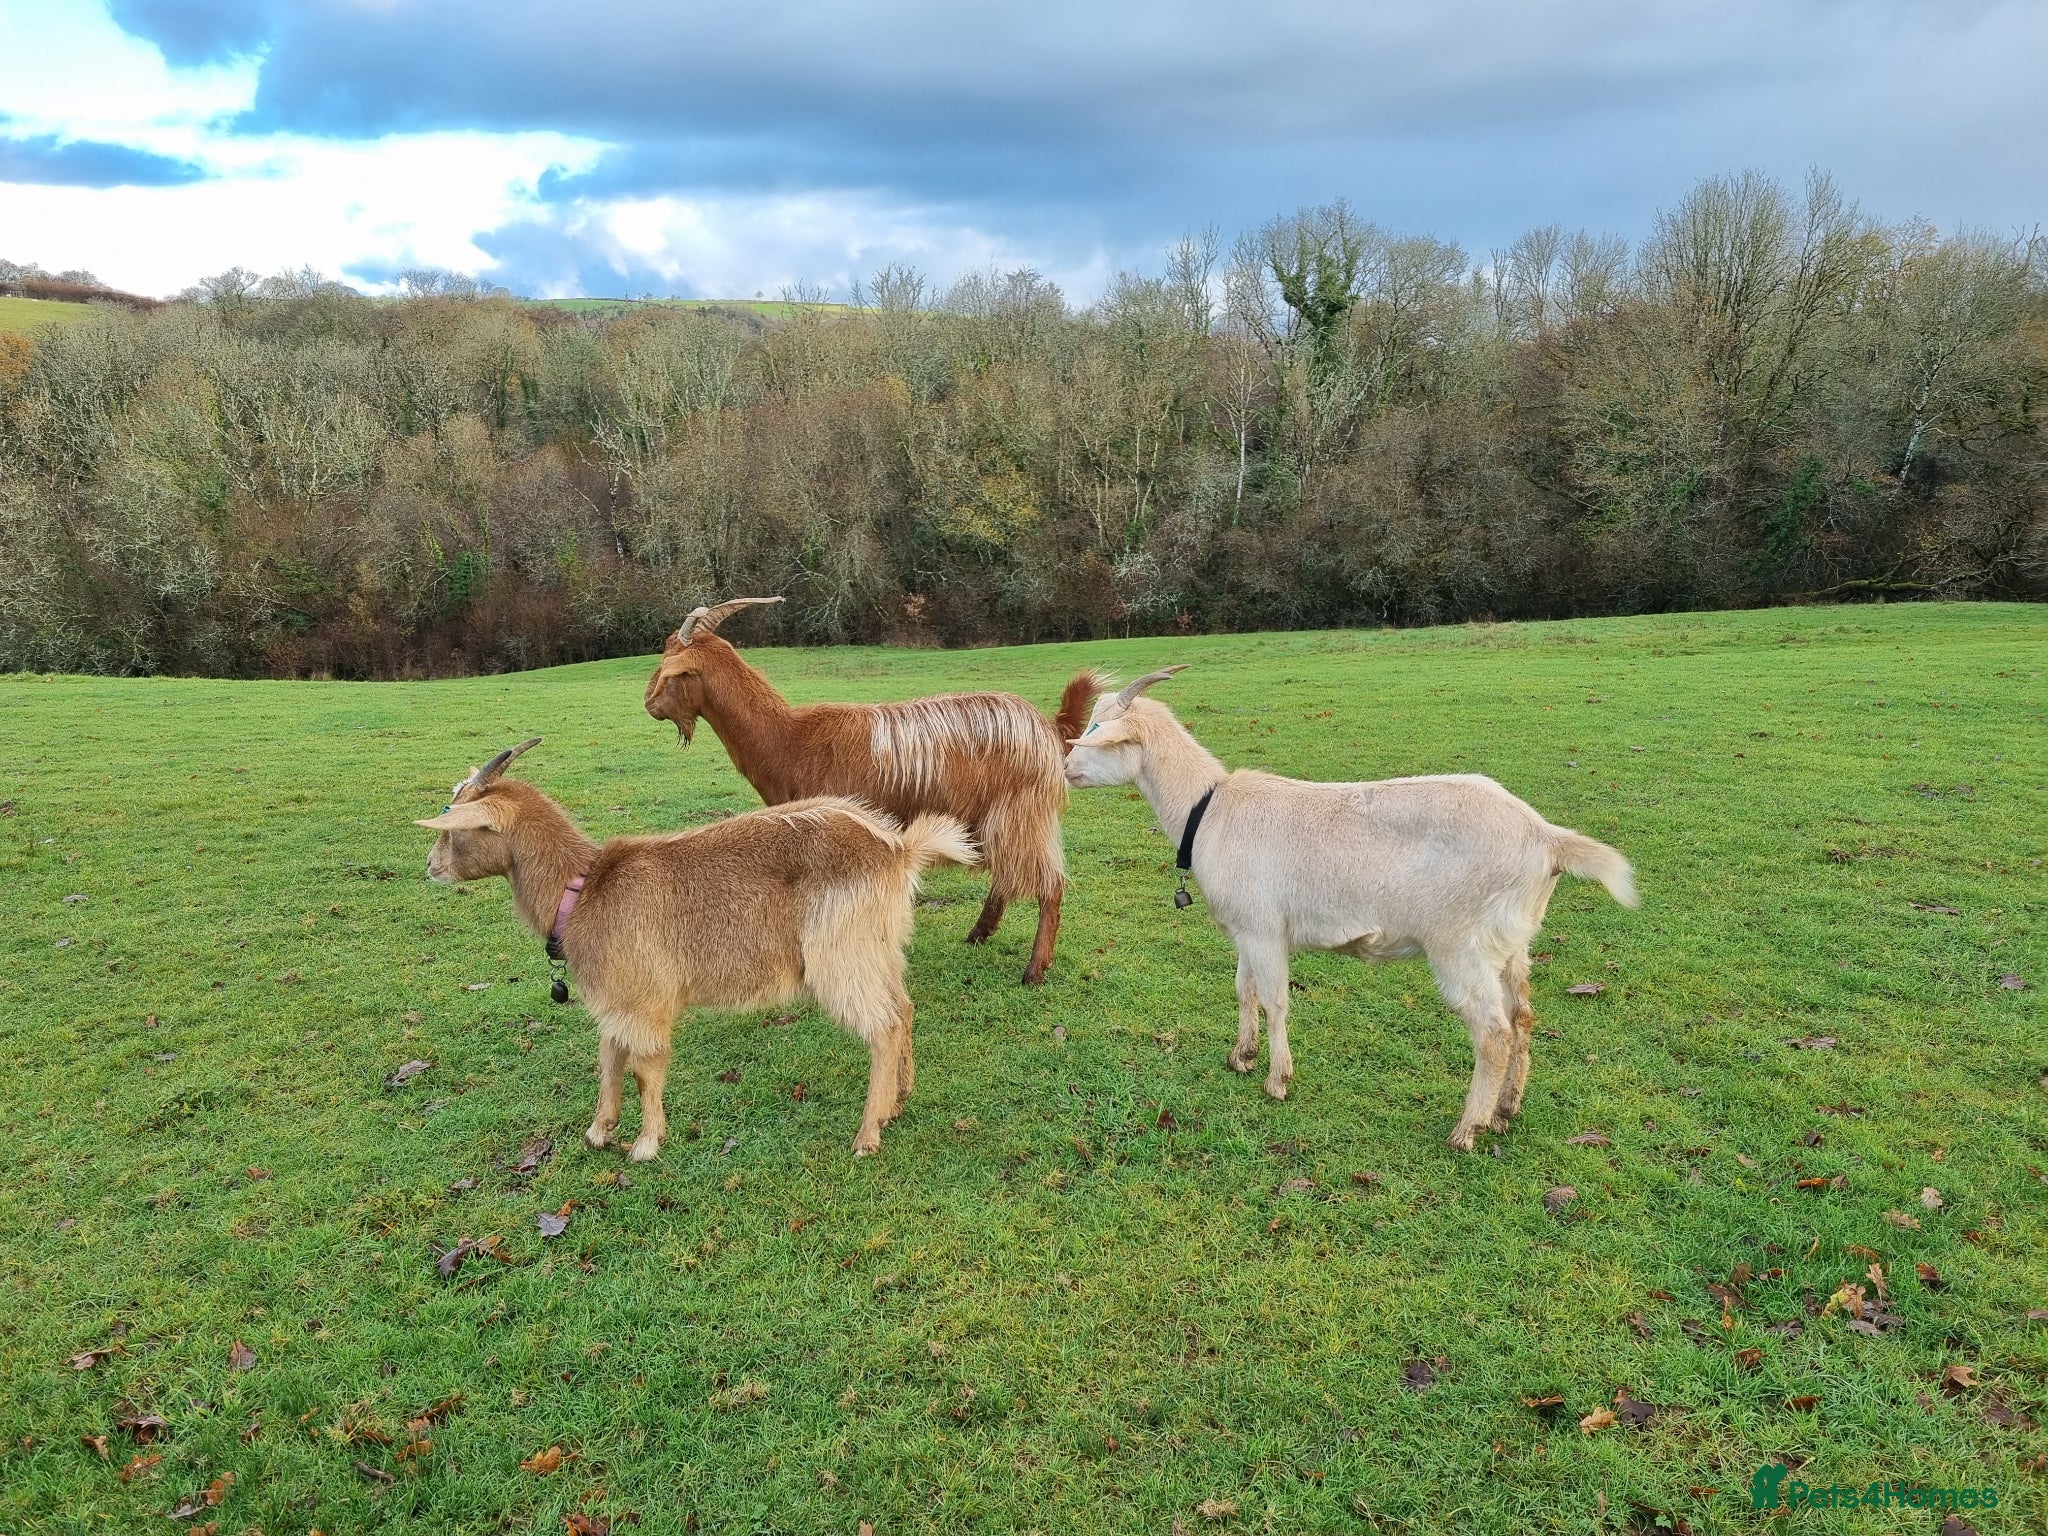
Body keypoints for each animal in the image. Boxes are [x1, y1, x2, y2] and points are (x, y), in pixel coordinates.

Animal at [415, 738, 976, 1159]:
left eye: (456, 822)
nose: (430, 867)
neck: (583, 889)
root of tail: (898, 850)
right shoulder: (616, 1002)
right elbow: (609, 1059)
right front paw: (599, 1132)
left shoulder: (644, 1001)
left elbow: (646, 1068)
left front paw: (645, 1144)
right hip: (880, 949)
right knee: (903, 1008)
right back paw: (896, 1103)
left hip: (840, 956)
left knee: (882, 1026)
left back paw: (866, 1135)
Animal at [643, 596, 1099, 986]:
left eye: (670, 665)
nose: (649, 703)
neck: (789, 739)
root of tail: (1049, 726)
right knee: (1008, 876)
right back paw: (978, 933)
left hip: (1020, 814)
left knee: (1048, 883)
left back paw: (1035, 969)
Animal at [1063, 669, 1639, 1151]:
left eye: (1099, 728)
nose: (1066, 766)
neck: (1207, 809)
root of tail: (1546, 838)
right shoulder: (1249, 927)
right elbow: (1244, 989)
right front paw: (1241, 1057)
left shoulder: (1265, 928)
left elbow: (1275, 1000)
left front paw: (1277, 1080)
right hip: (1511, 941)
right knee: (1521, 1018)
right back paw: (1504, 1112)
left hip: (1461, 942)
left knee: (1492, 1031)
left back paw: (1466, 1130)